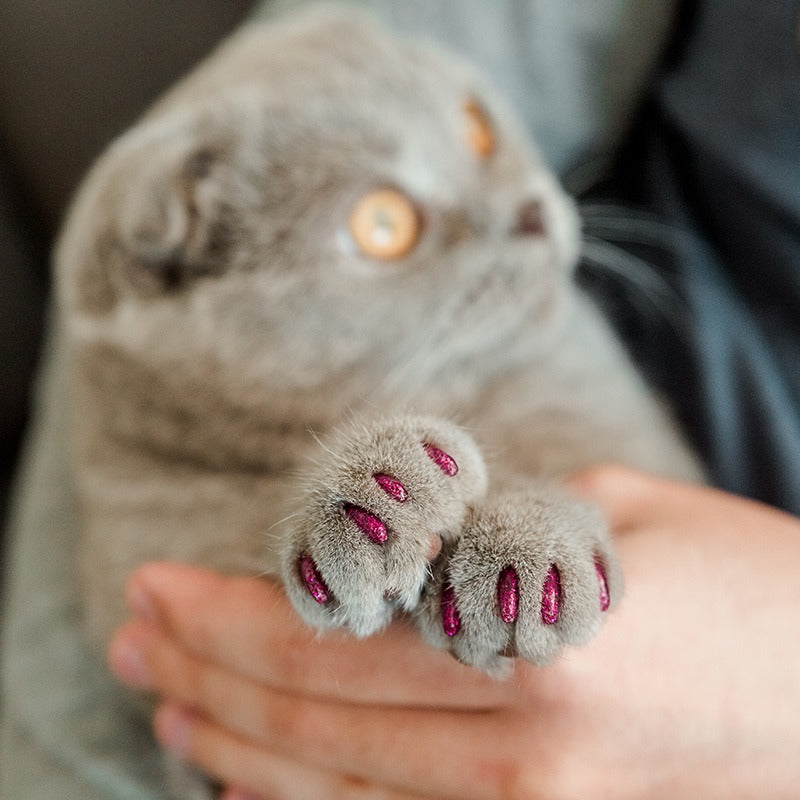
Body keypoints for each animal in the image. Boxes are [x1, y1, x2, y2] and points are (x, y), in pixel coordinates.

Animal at [57, 1, 700, 692]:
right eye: (383, 226)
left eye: (478, 128)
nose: (529, 212)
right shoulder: (142, 543)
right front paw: (366, 498)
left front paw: (521, 546)